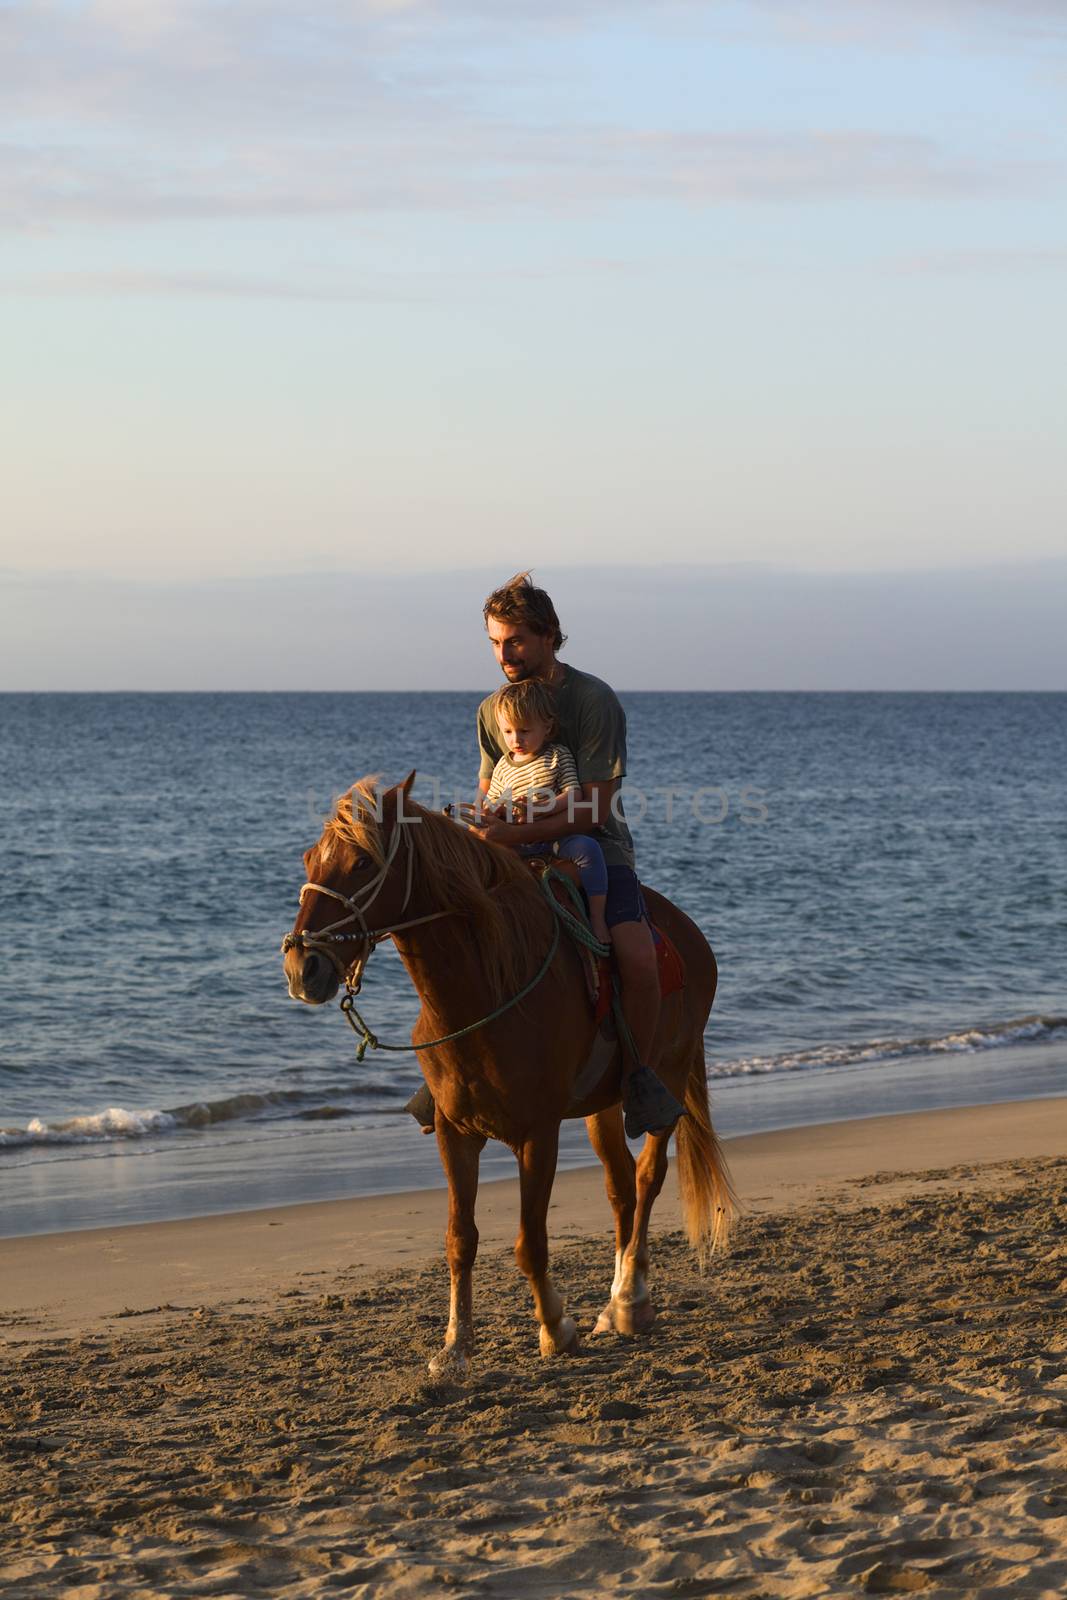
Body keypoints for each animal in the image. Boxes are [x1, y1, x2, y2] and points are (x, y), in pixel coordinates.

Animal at [283, 774, 735, 1376]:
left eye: (360, 862)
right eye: (311, 858)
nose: (301, 967)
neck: (486, 989)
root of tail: (690, 935)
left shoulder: (537, 1135)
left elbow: (529, 1242)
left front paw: (555, 1328)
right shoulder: (455, 1133)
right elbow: (460, 1239)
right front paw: (454, 1347)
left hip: (668, 1074)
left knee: (646, 1178)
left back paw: (630, 1300)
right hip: (601, 1106)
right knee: (620, 1188)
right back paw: (614, 1302)